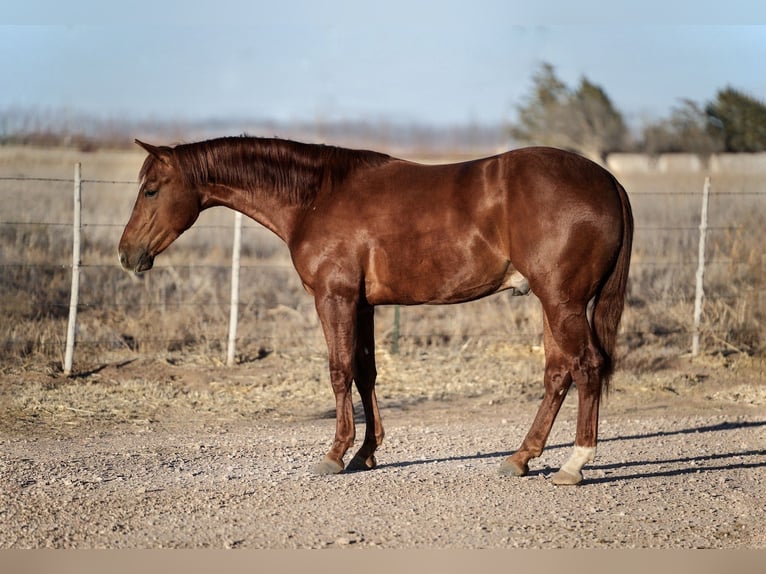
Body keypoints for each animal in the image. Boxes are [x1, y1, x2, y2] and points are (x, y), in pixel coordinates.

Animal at [118, 136, 633, 485]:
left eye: (151, 190)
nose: (127, 254)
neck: (317, 197)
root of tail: (608, 180)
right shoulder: (363, 306)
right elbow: (366, 373)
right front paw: (365, 453)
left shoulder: (335, 298)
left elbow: (340, 371)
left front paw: (335, 454)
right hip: (551, 303)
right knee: (558, 373)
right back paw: (521, 458)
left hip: (562, 302)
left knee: (586, 366)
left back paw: (574, 463)